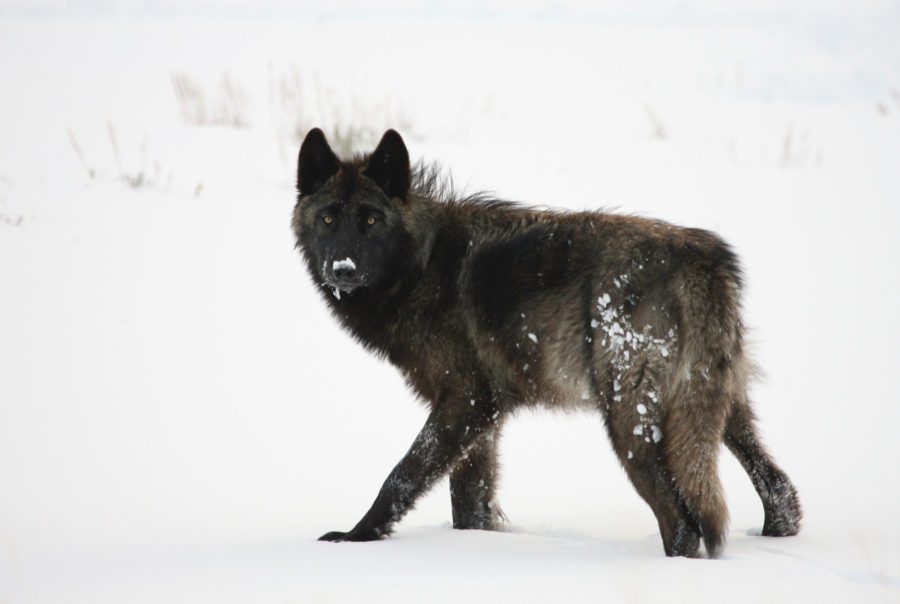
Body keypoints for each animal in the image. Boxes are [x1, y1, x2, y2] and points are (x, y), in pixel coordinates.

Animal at [290, 126, 800, 556]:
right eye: (329, 219)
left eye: (372, 220)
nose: (343, 269)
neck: (421, 265)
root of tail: (702, 259)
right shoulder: (484, 418)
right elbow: (469, 503)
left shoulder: (465, 402)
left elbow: (402, 475)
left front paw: (354, 537)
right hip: (720, 409)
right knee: (780, 489)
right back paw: (776, 533)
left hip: (629, 423)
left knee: (683, 522)